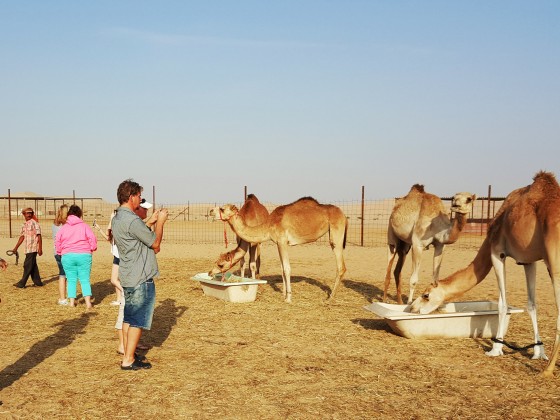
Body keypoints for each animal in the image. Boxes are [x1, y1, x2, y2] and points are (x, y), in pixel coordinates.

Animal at [210, 197, 346, 302]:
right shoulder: (278, 243)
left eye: (222, 209)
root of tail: (344, 215)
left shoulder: (282, 242)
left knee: (341, 266)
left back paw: (330, 297)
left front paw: (288, 298)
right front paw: (284, 293)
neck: (269, 225)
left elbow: (287, 269)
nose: (211, 211)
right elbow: (282, 269)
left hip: (336, 235)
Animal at [410, 171, 560, 378]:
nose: (412, 309)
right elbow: (532, 304)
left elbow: (502, 303)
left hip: (554, 261)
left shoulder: (497, 252)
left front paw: (495, 349)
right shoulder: (528, 260)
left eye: (426, 295)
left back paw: (548, 370)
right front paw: (539, 352)